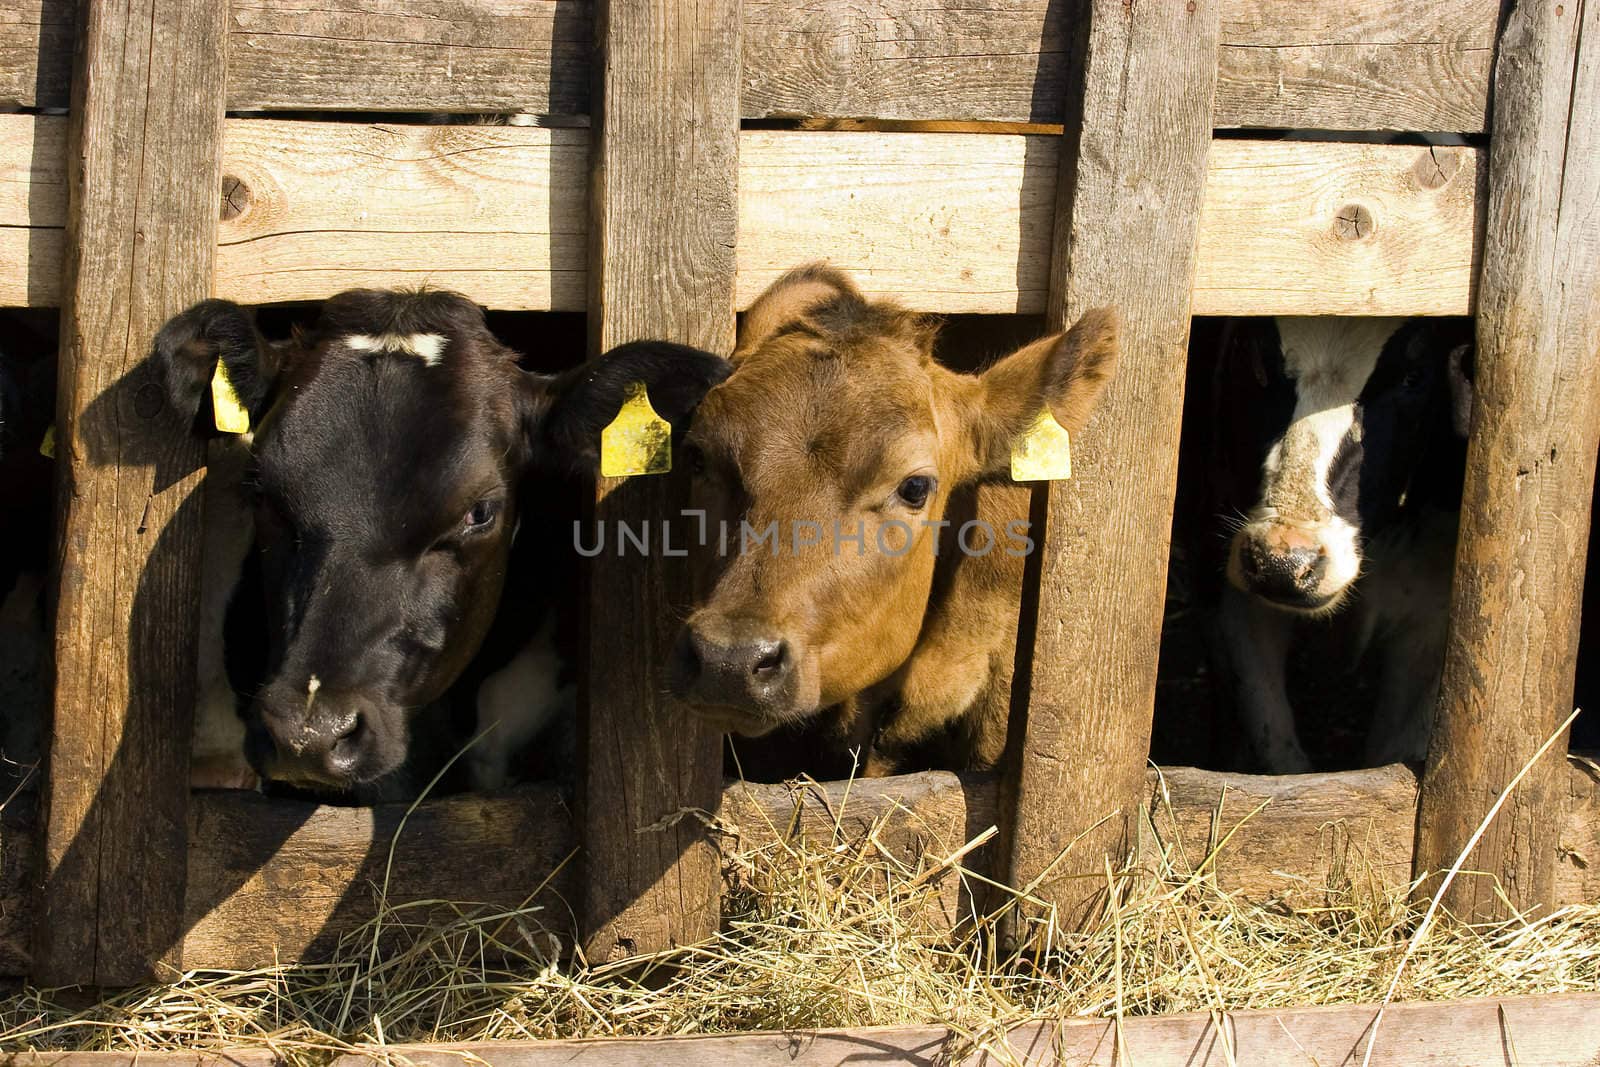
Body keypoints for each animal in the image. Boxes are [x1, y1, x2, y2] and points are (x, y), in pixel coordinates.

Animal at [1184, 313, 1478, 771]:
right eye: (1255, 359)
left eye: (1413, 377)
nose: (1282, 564)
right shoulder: (1225, 592)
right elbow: (1277, 751)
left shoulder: (1432, 613)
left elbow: (1395, 755)